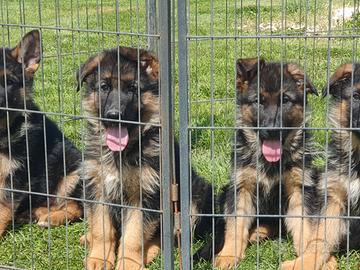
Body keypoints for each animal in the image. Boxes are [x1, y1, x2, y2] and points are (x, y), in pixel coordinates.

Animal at [0, 30, 82, 236]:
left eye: (10, 82)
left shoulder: (17, 174)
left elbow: (3, 204)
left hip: (73, 170)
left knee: (77, 207)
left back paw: (52, 218)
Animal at [76, 47, 211, 270]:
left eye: (133, 89)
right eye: (104, 87)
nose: (114, 115)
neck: (123, 152)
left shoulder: (146, 195)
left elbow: (134, 235)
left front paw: (128, 263)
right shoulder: (97, 188)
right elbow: (101, 230)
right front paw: (99, 258)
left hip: (194, 199)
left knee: (169, 237)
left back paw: (150, 252)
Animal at [212, 58, 320, 268]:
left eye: (285, 100)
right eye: (258, 101)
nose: (272, 130)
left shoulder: (300, 189)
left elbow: (306, 227)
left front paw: (312, 258)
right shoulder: (241, 187)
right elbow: (235, 224)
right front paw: (228, 255)